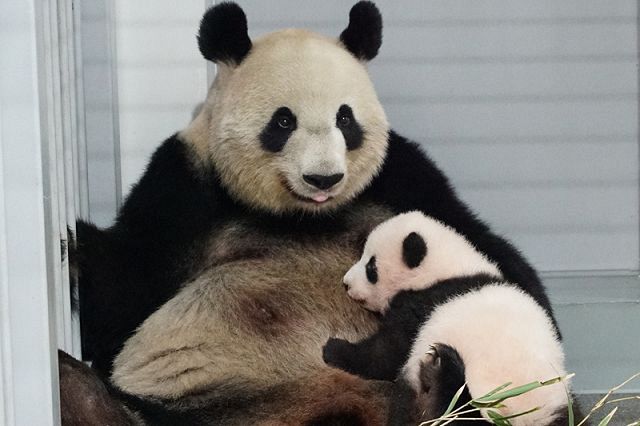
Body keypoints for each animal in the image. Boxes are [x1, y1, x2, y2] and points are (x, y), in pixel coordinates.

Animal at [62, 1, 556, 424]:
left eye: (345, 118)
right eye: (283, 121)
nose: (324, 179)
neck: (302, 217)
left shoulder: (401, 176)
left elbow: (477, 240)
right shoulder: (185, 188)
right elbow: (124, 294)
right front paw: (74, 246)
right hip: (217, 401)